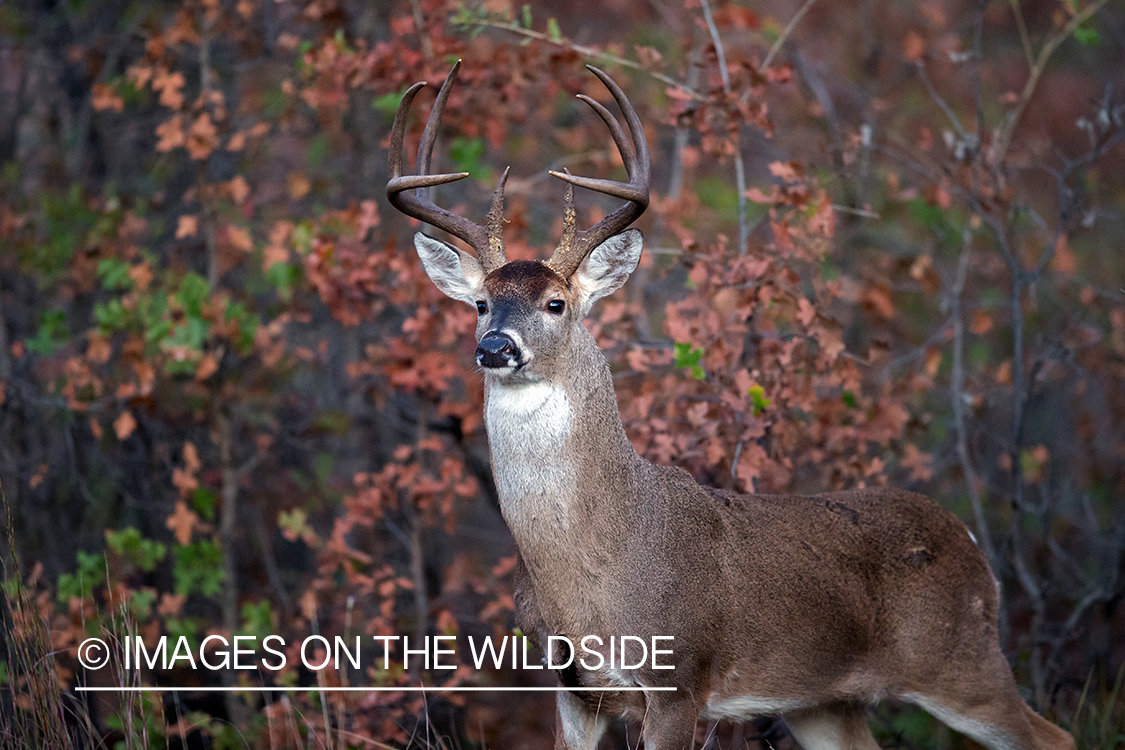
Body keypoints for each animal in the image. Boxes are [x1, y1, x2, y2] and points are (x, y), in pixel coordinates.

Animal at [384, 62, 1071, 750]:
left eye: (555, 303)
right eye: (480, 303)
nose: (495, 346)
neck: (589, 577)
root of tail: (971, 543)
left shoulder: (680, 678)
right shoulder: (574, 691)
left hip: (960, 658)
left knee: (1052, 735)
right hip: (826, 702)